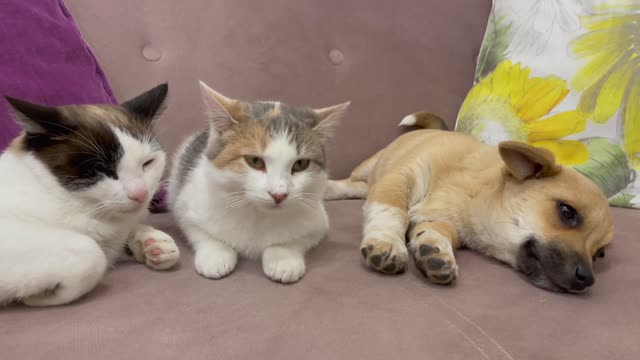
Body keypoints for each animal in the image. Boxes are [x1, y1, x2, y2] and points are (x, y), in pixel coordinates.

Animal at [0, 83, 180, 306]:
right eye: (99, 169)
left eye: (147, 163)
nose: (140, 193)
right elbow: (91, 253)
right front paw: (39, 296)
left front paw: (151, 242)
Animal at [170, 81, 348, 284]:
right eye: (255, 161)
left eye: (301, 164)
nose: (279, 194)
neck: (257, 214)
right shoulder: (184, 205)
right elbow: (198, 230)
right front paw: (216, 254)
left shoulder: (318, 221)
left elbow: (299, 238)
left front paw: (283, 257)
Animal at [330, 112, 616, 292]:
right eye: (567, 212)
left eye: (599, 254)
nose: (587, 280)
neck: (473, 193)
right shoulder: (401, 178)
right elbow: (391, 210)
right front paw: (388, 241)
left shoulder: (444, 223)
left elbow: (437, 230)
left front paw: (435, 250)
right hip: (371, 165)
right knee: (349, 184)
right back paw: (326, 188)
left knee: (359, 189)